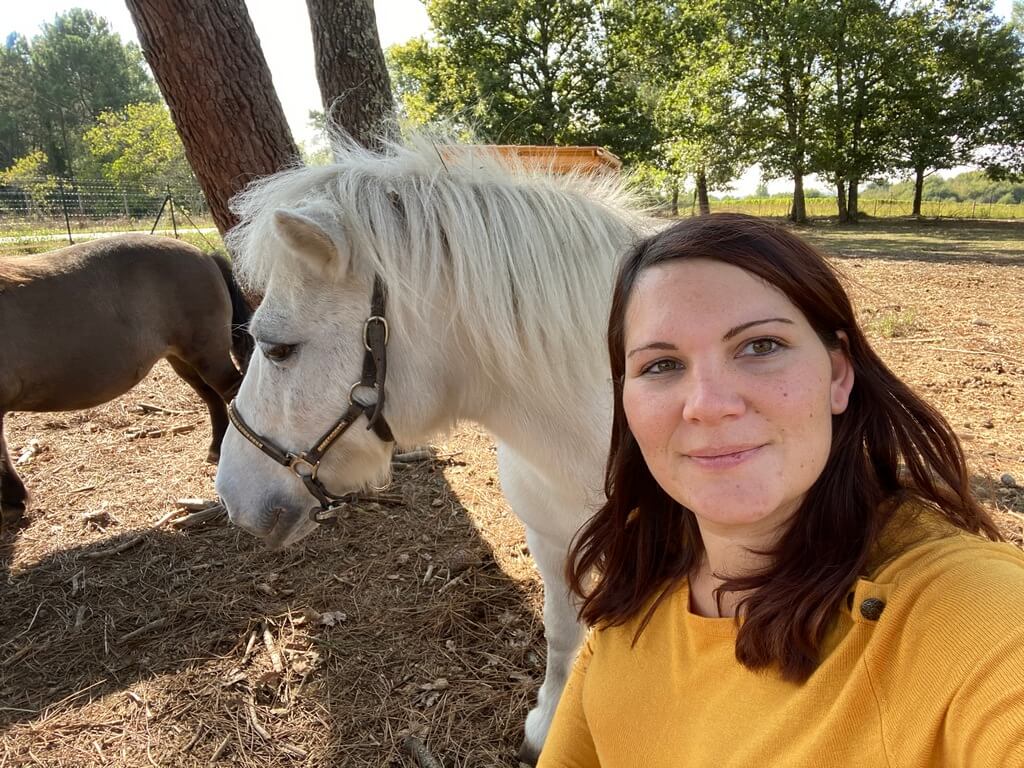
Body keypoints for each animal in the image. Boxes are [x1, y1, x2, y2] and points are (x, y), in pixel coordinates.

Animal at [0, 234, 253, 528]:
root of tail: (205, 257)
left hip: (207, 354)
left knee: (230, 392)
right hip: (182, 359)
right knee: (211, 398)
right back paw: (217, 449)